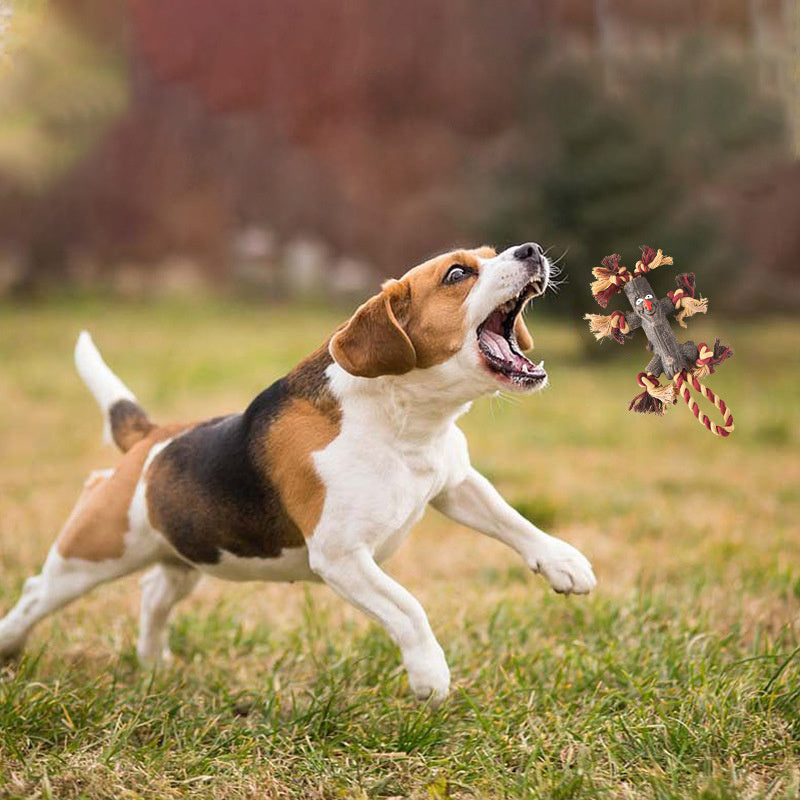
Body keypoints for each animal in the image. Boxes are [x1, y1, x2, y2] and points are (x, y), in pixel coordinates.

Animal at [0, 242, 592, 700]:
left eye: (492, 255)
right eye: (457, 274)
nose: (531, 250)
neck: (405, 420)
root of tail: (150, 438)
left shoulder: (455, 484)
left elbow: (513, 521)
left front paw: (564, 563)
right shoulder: (342, 557)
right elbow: (409, 607)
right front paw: (430, 674)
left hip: (185, 557)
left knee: (152, 594)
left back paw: (152, 663)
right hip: (91, 554)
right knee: (35, 592)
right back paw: (11, 645)